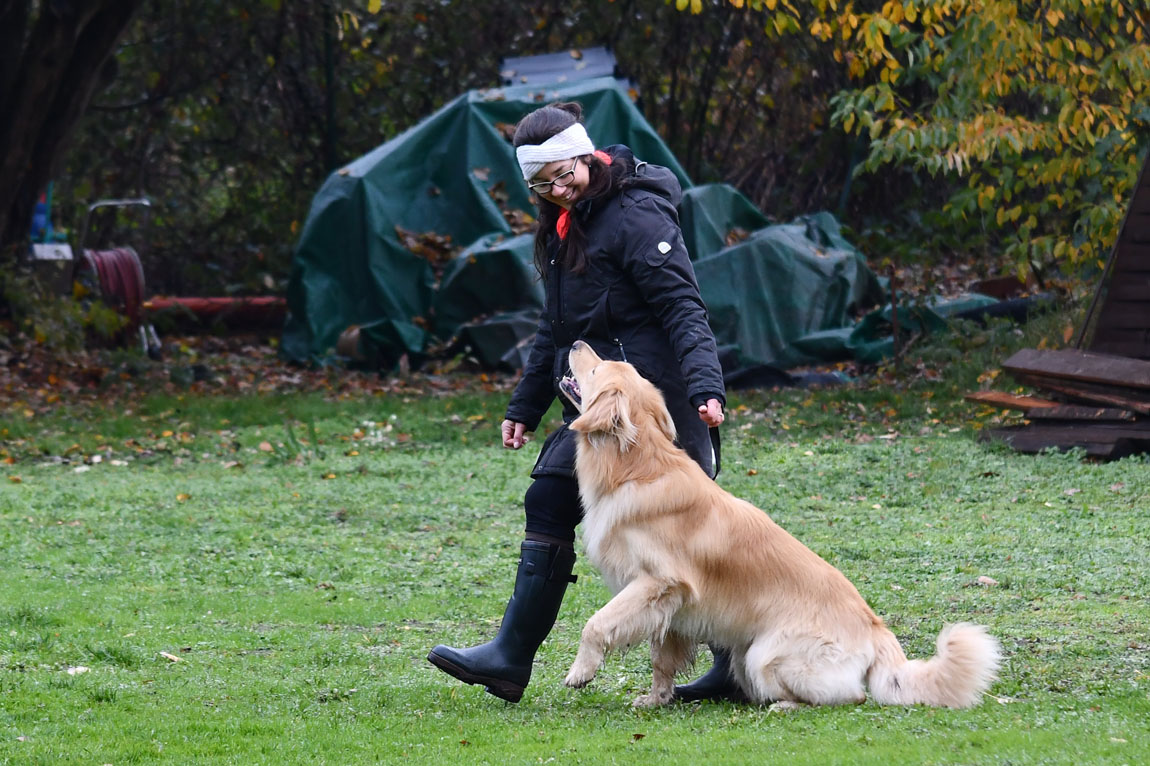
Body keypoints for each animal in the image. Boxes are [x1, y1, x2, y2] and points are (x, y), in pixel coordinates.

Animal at [556, 338, 998, 708]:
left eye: (596, 369)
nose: (575, 341)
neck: (636, 468)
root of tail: (878, 631)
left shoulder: (657, 582)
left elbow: (596, 624)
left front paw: (581, 672)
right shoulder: (670, 605)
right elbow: (661, 657)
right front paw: (656, 698)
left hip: (764, 657)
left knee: (851, 696)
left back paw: (785, 706)